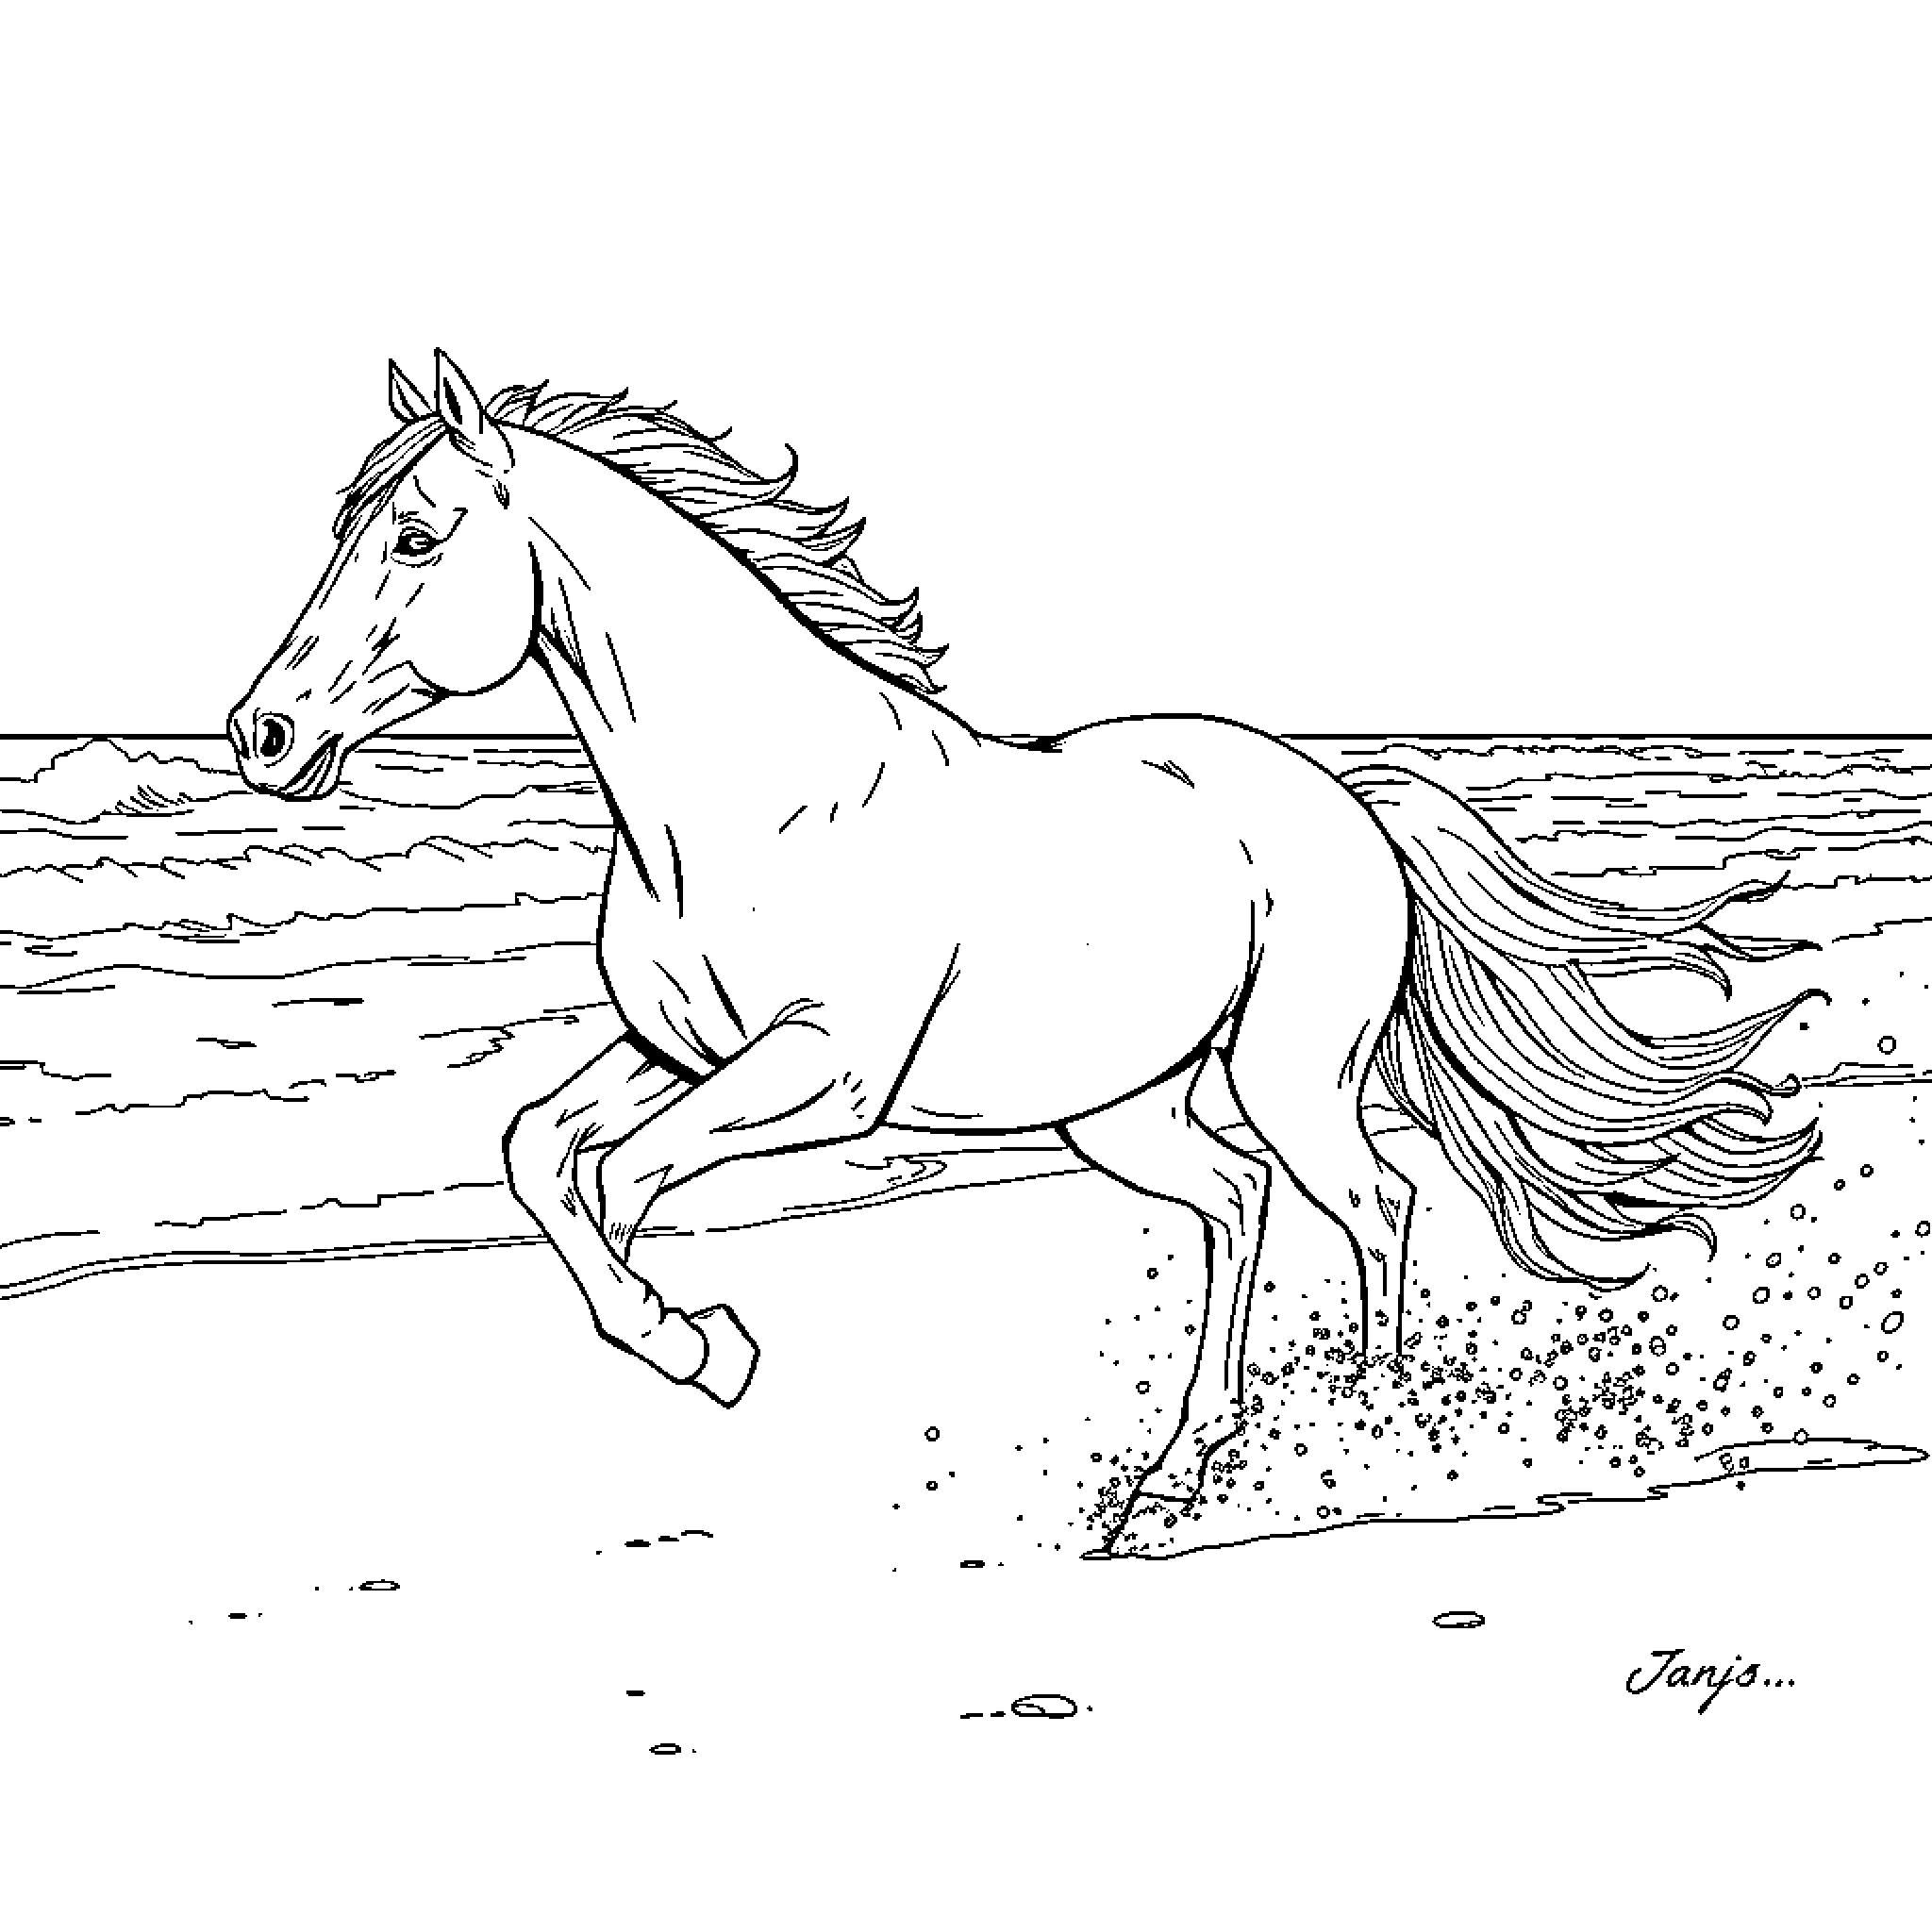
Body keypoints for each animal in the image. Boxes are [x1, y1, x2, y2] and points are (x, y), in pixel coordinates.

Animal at [227, 350, 1823, 1509]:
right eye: (340, 528)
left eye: (416, 536)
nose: (264, 735)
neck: (753, 798)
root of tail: (1348, 802)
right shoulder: (672, 1049)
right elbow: (542, 1156)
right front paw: (685, 1338)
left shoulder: (822, 1076)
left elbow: (623, 1178)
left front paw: (704, 1343)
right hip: (1121, 1113)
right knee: (1238, 1206)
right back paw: (1179, 1469)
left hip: (1289, 1081)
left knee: (1373, 1207)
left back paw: (1371, 1426)